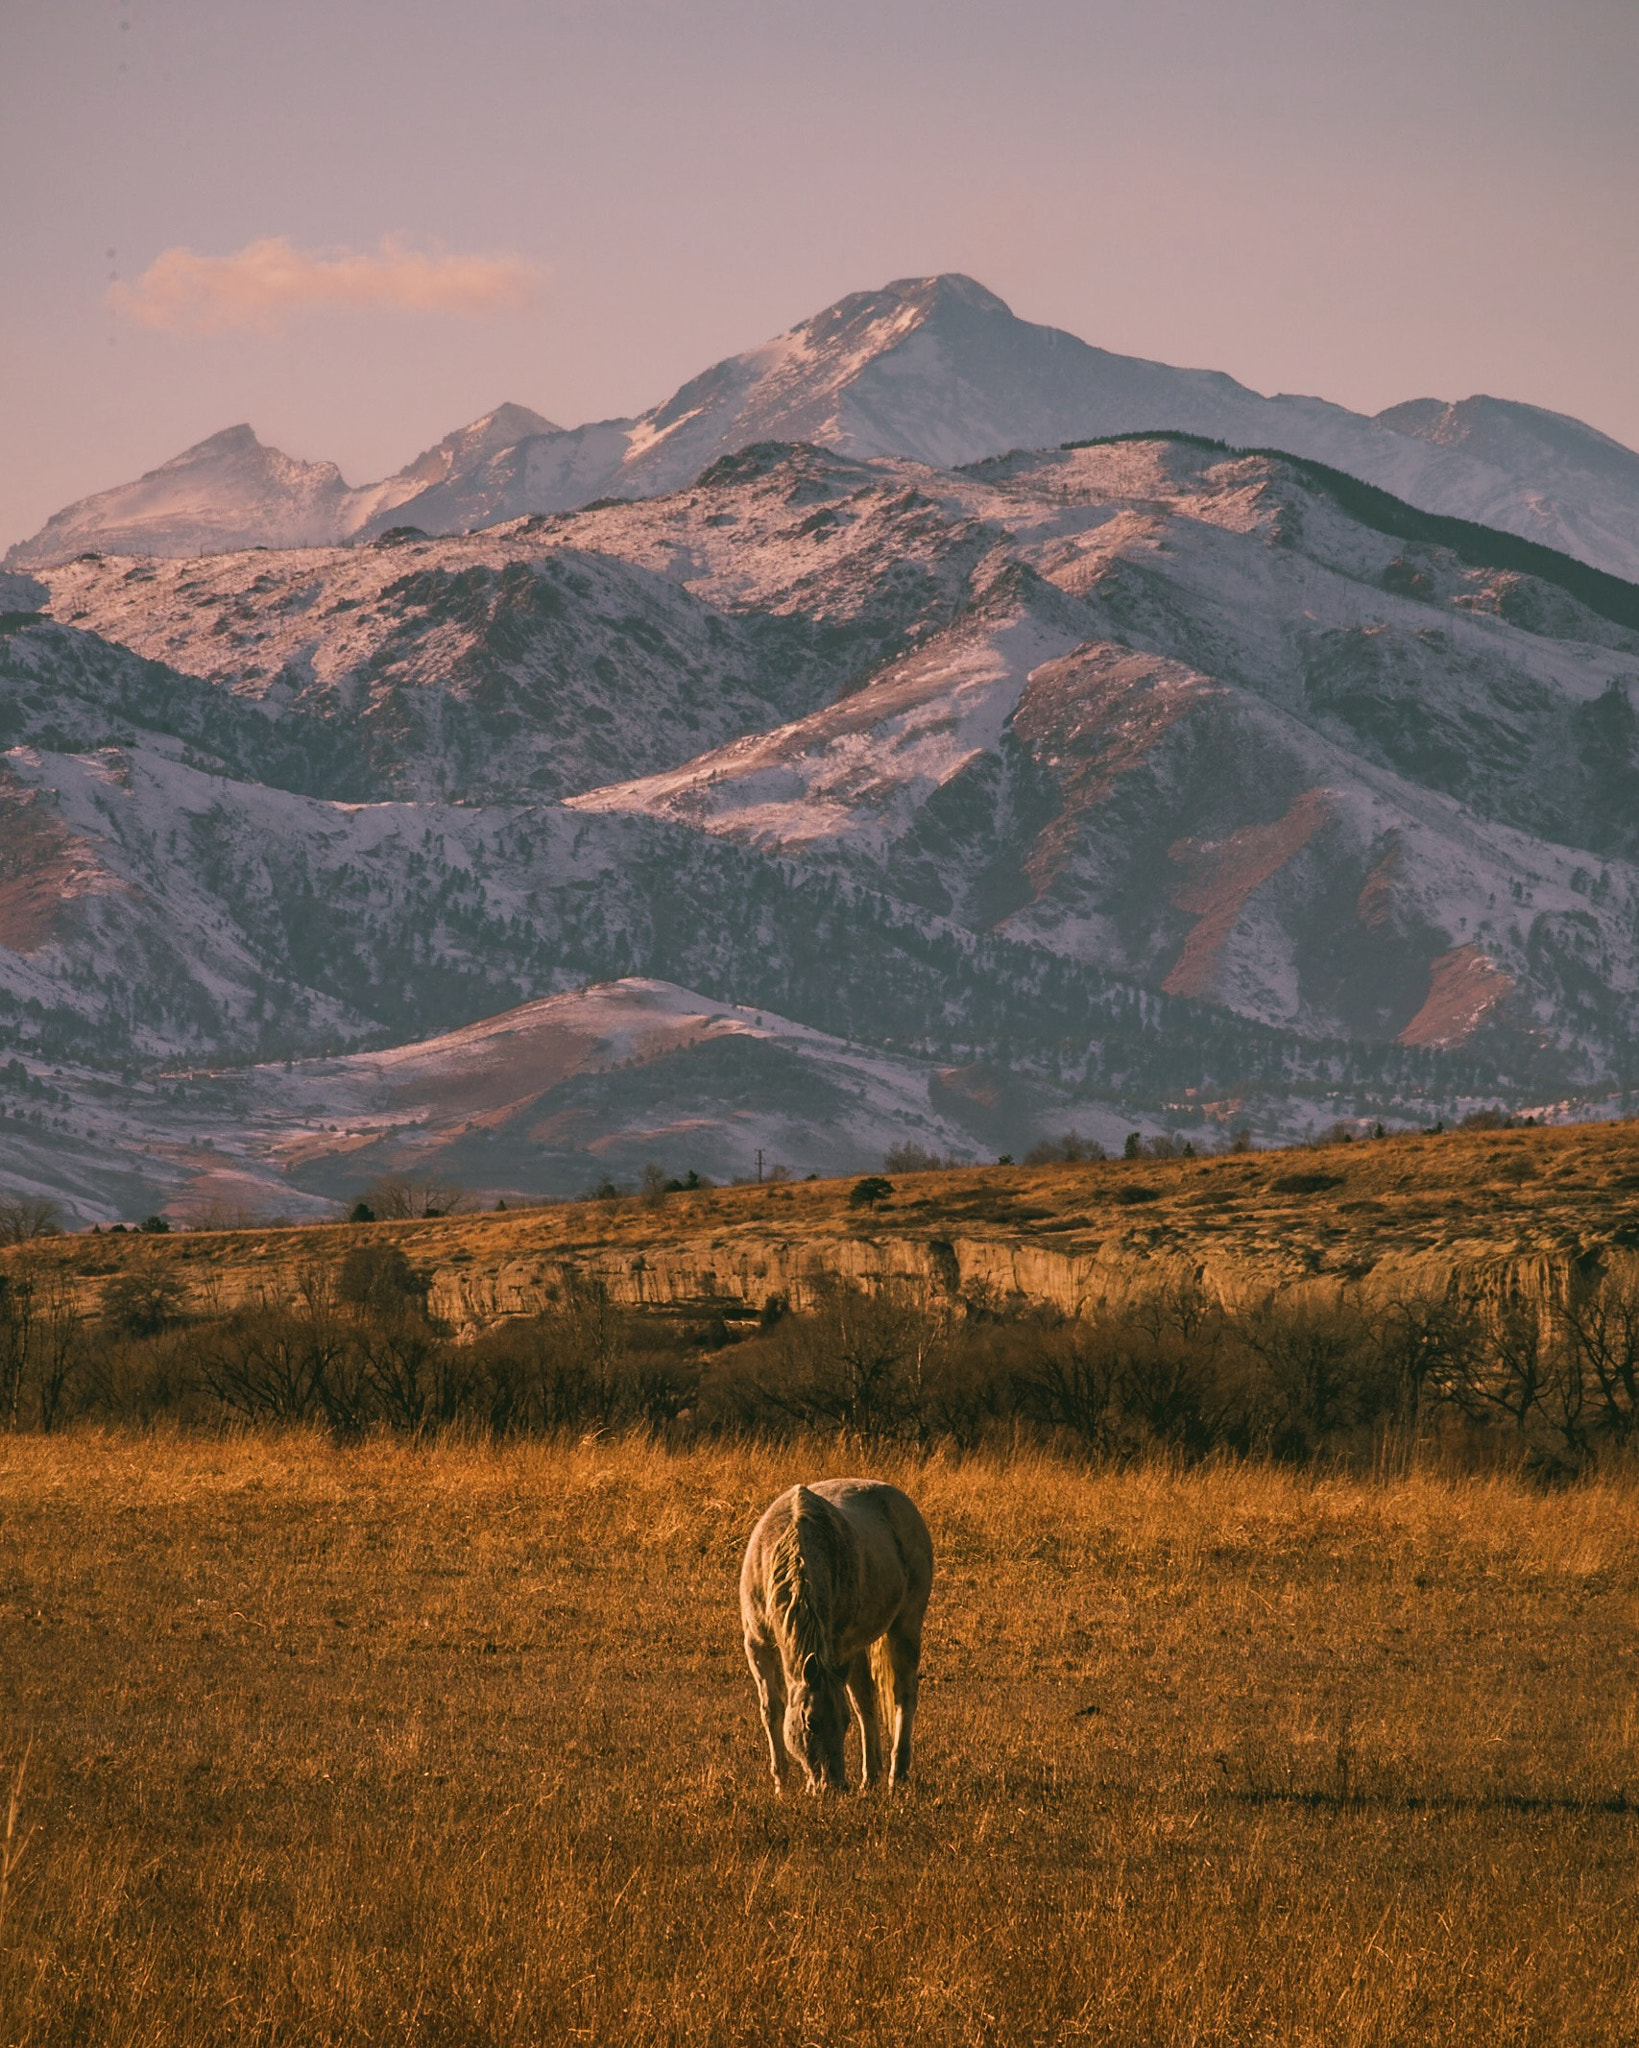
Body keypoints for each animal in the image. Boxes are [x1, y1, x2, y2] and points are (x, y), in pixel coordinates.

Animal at [741, 1474, 934, 1794]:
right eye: (810, 1723)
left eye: (844, 1724)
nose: (833, 1786)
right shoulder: (758, 1644)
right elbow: (772, 1710)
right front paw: (781, 1785)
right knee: (866, 1703)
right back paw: (870, 1778)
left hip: (905, 1628)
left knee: (903, 1696)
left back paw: (896, 1775)